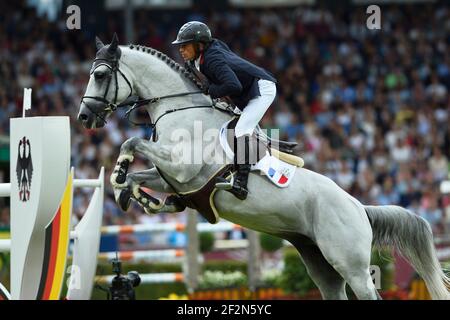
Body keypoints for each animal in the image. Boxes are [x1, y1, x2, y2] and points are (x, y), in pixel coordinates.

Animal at [78, 35, 450, 300]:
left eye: (100, 75)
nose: (83, 117)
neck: (179, 110)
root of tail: (359, 207)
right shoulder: (174, 178)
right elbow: (143, 176)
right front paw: (134, 194)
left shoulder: (183, 168)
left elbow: (131, 143)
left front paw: (121, 174)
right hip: (319, 261)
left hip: (351, 263)